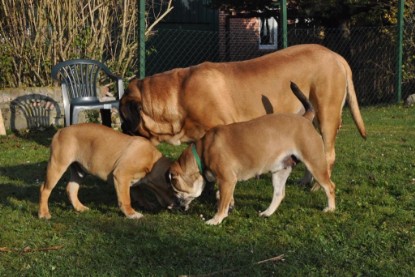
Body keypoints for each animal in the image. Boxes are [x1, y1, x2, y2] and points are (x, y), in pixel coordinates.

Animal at [37, 123, 176, 218]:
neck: (153, 162)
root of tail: (61, 130)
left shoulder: (133, 181)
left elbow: (139, 193)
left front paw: (146, 204)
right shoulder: (122, 175)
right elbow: (126, 199)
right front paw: (131, 213)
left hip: (79, 171)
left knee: (71, 188)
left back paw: (80, 208)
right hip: (57, 165)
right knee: (45, 189)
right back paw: (43, 213)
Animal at [119, 43, 368, 179]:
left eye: (122, 114)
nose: (120, 127)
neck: (178, 94)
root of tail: (336, 56)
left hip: (327, 113)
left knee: (328, 154)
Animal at [171, 82, 336, 224]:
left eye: (176, 189)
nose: (176, 206)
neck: (202, 150)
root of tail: (305, 119)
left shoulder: (227, 180)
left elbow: (222, 203)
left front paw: (216, 219)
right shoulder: (226, 182)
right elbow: (223, 198)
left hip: (315, 163)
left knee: (330, 186)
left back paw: (330, 208)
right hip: (280, 170)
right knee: (279, 194)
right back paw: (267, 213)